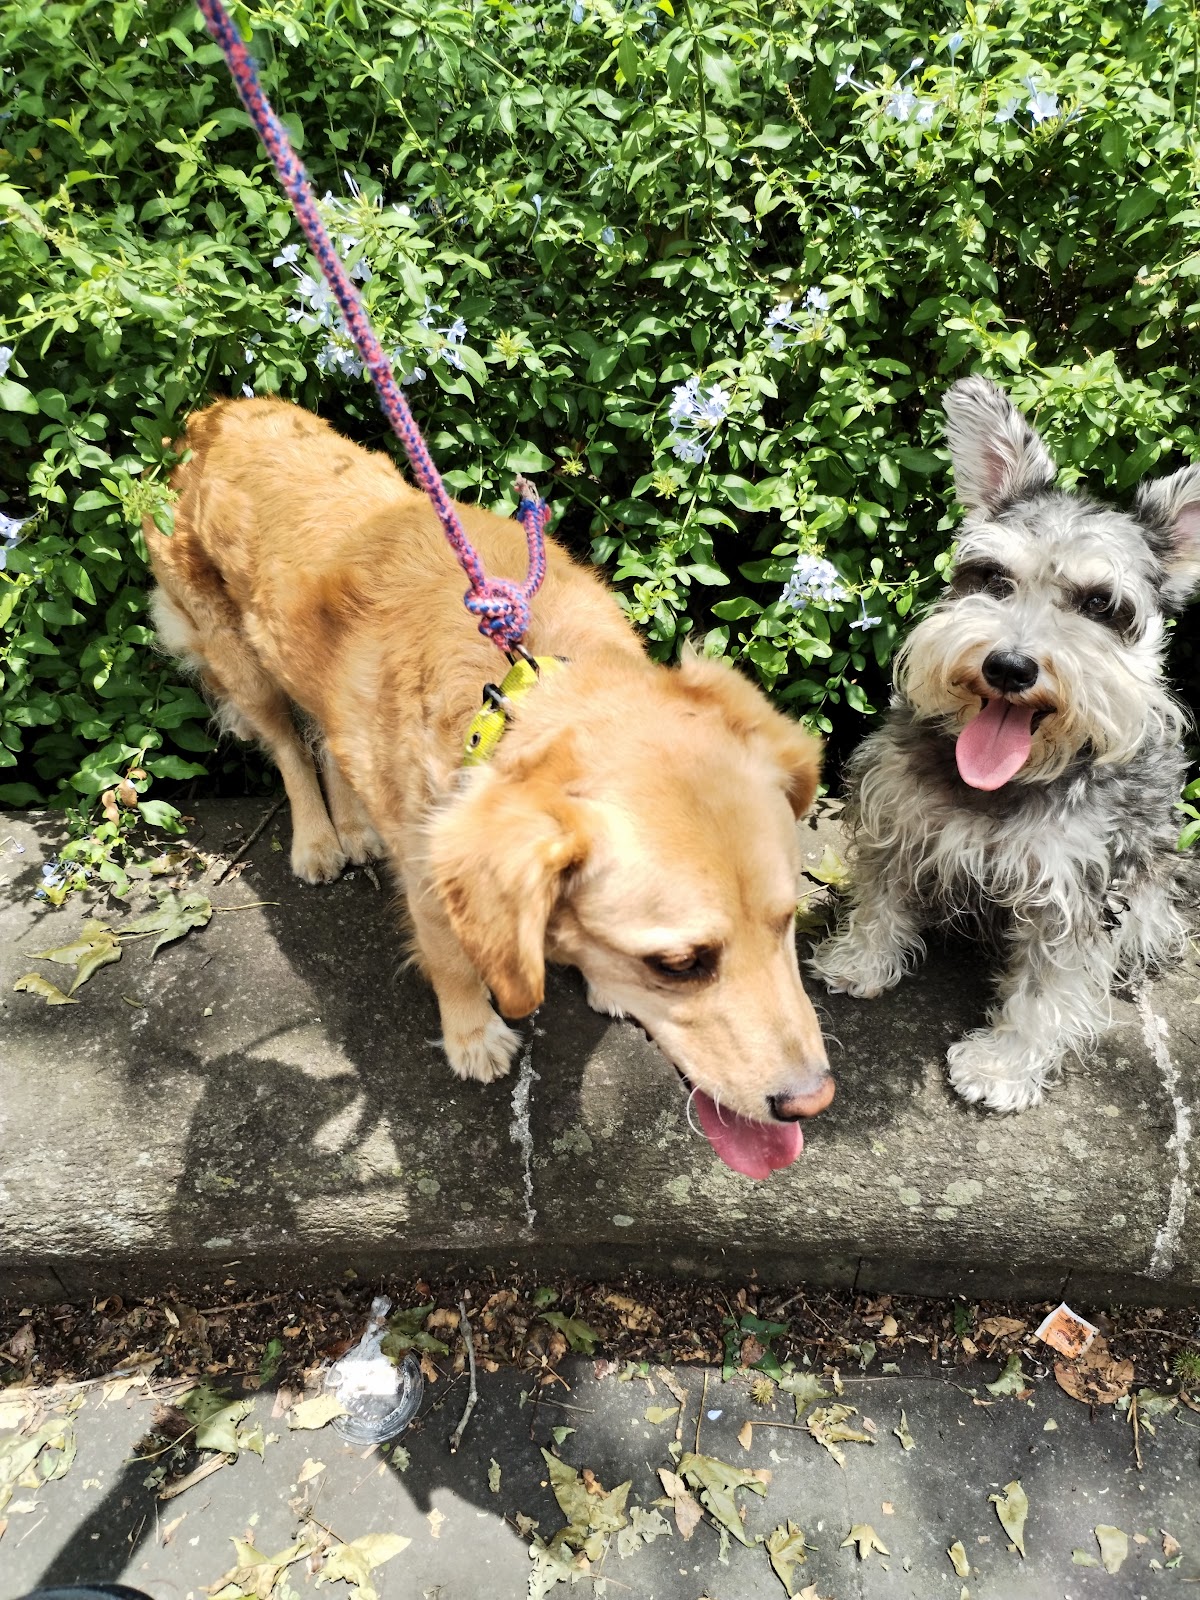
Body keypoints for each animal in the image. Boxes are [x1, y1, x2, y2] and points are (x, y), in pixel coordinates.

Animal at [145, 397, 833, 1178]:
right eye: (680, 964)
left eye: (787, 920)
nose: (812, 1101)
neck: (521, 688)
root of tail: (218, 413)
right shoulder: (430, 873)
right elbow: (449, 960)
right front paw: (472, 1036)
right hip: (238, 659)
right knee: (290, 746)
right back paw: (319, 840)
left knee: (326, 735)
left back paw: (352, 825)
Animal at [811, 376, 1200, 1113]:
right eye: (994, 579)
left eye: (1099, 603)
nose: (1011, 667)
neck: (1004, 782)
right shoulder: (896, 817)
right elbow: (879, 899)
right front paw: (860, 960)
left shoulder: (1075, 888)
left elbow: (1048, 988)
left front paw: (1005, 1065)